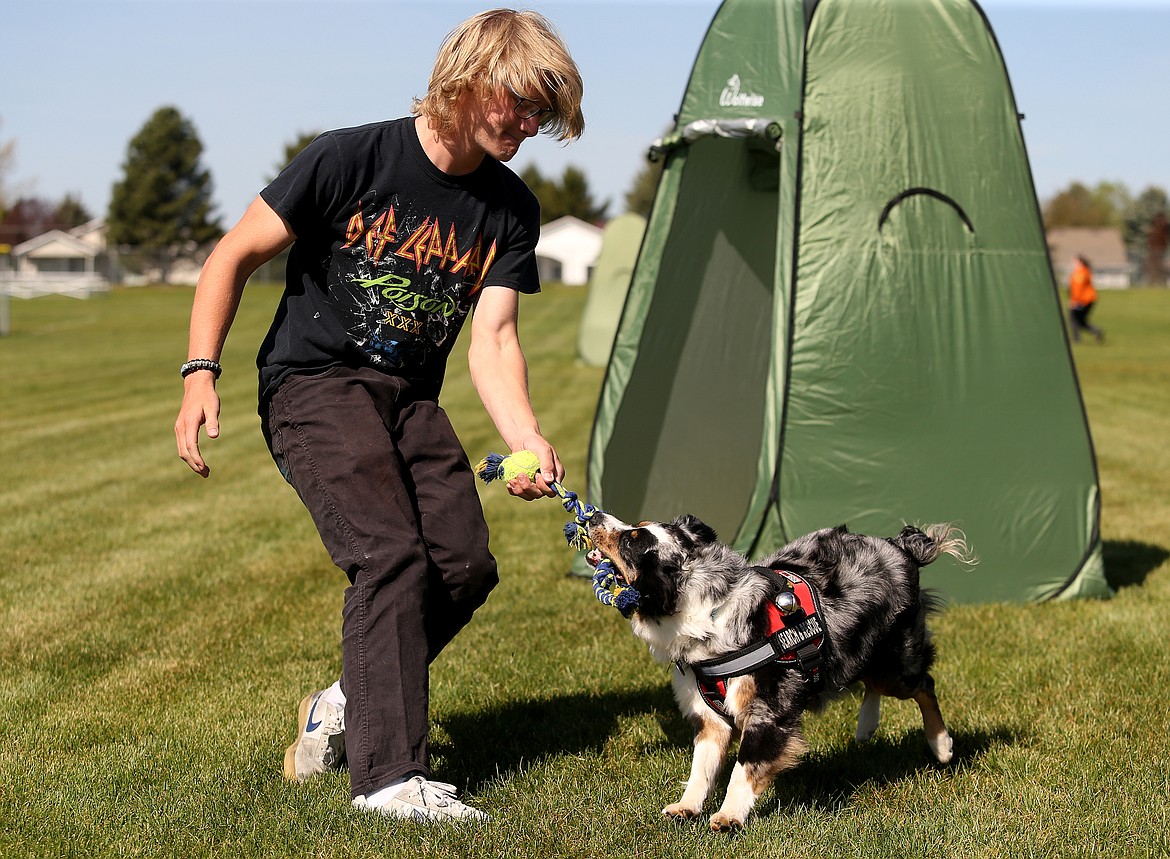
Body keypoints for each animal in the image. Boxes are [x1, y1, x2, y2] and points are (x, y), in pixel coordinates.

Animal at [585, 514, 968, 833]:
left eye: (633, 539)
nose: (593, 516)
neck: (704, 613)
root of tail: (900, 547)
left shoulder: (767, 712)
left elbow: (743, 768)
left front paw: (729, 817)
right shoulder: (709, 715)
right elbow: (701, 767)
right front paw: (687, 807)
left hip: (896, 663)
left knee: (923, 684)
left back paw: (941, 746)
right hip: (861, 652)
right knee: (871, 682)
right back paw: (867, 726)